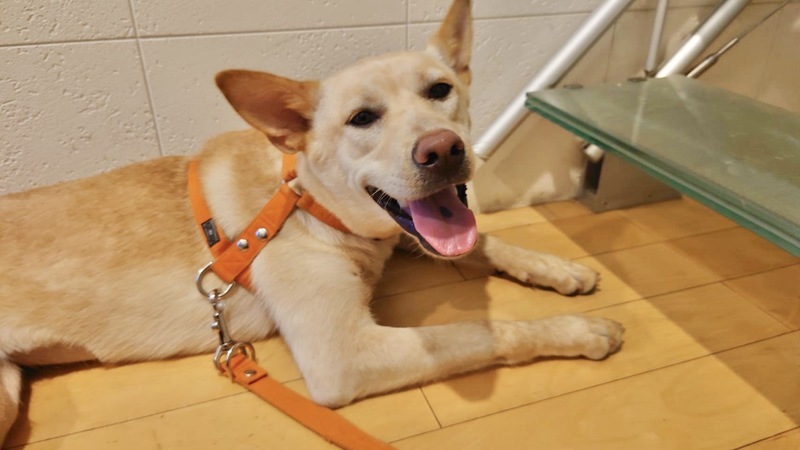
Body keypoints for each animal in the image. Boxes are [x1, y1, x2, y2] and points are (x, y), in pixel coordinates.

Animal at [0, 0, 623, 441]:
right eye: (362, 118)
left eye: (441, 90)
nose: (443, 150)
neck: (307, 203)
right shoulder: (342, 354)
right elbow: (481, 331)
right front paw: (579, 331)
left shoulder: (400, 232)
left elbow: (484, 242)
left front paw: (557, 268)